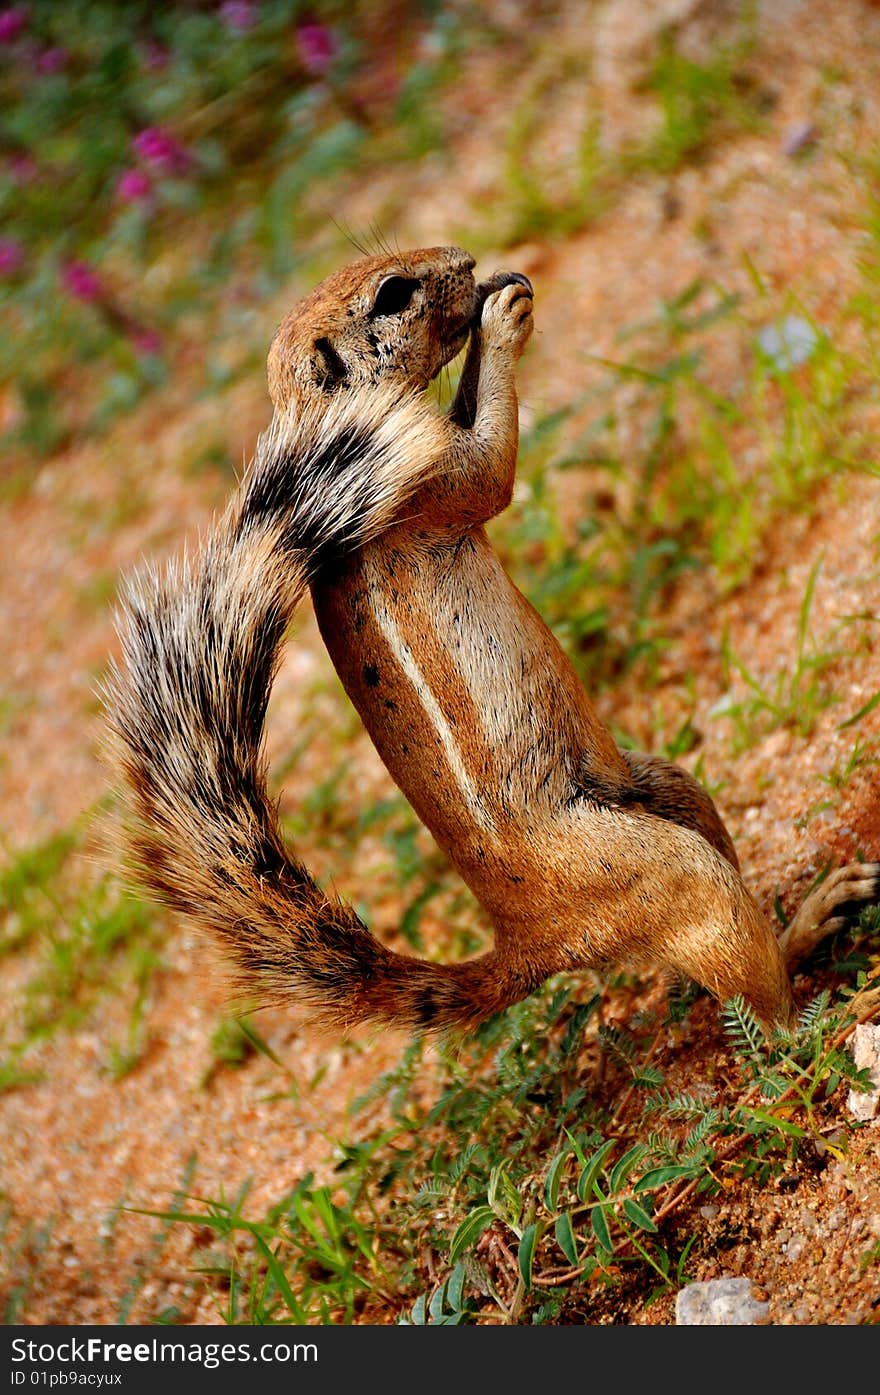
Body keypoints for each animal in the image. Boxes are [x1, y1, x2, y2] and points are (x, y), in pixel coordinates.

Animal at [106, 245, 875, 1043]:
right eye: (392, 294)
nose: (467, 259)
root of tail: (532, 938)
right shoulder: (427, 478)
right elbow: (489, 470)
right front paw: (503, 320)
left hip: (666, 786)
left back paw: (813, 920)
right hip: (668, 871)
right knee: (761, 1012)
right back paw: (825, 1008)